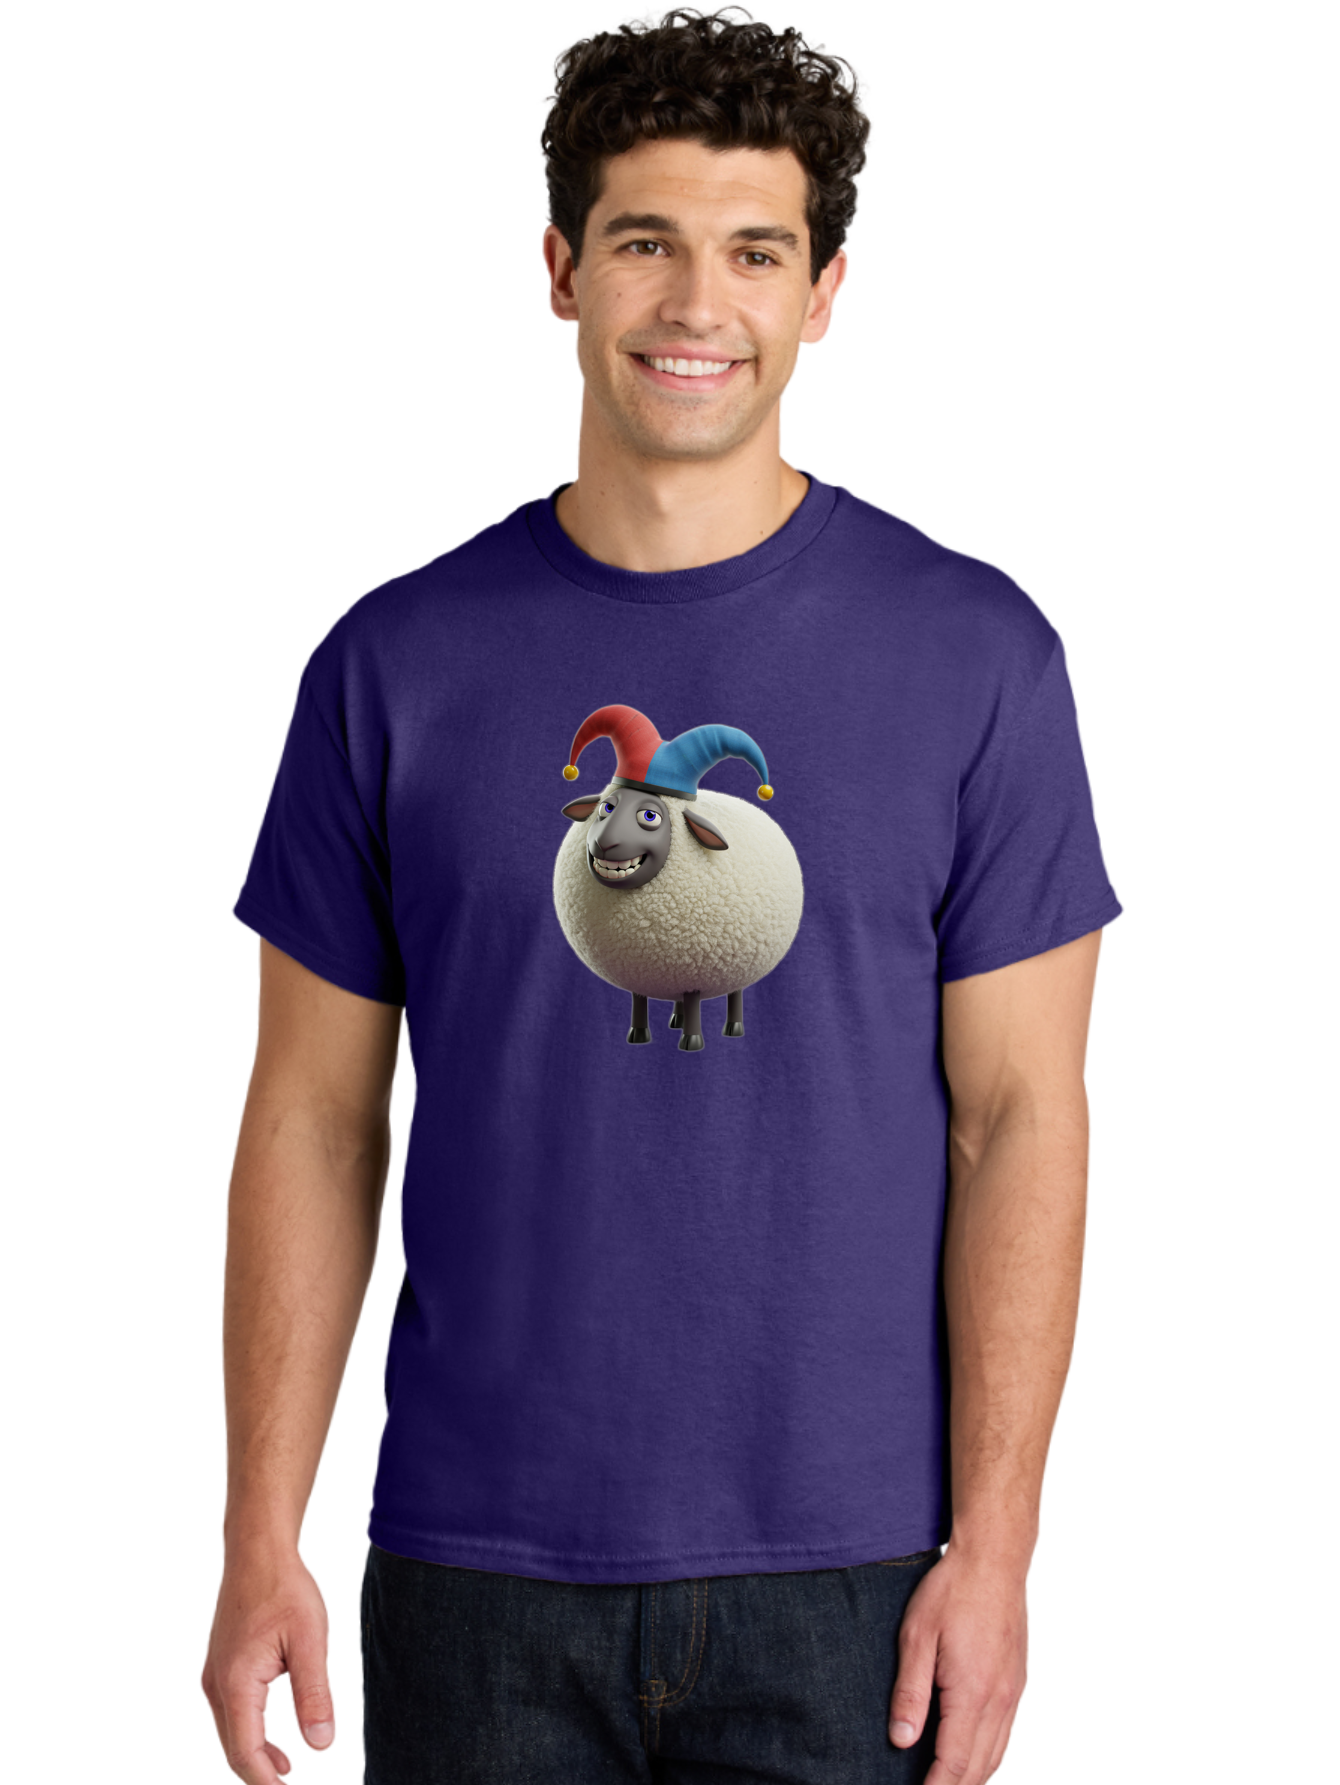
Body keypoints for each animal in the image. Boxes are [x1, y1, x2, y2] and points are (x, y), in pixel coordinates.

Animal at [552, 704, 803, 1050]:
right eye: (606, 807)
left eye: (649, 816)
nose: (604, 842)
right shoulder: (643, 972)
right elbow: (639, 1002)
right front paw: (638, 1035)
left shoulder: (694, 969)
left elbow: (695, 1001)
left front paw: (692, 1041)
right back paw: (676, 1018)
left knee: (735, 994)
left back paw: (732, 1027)